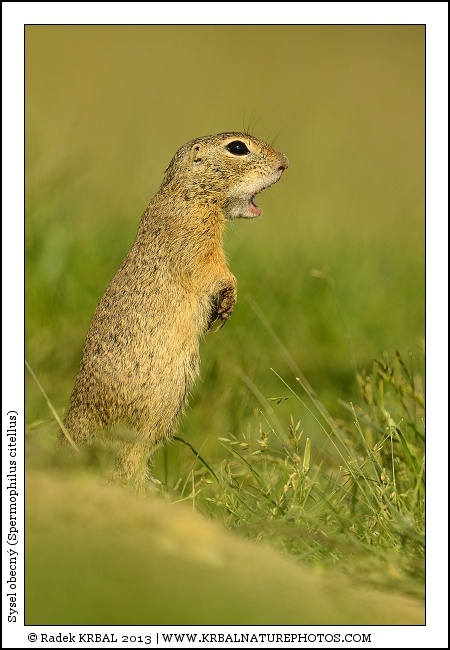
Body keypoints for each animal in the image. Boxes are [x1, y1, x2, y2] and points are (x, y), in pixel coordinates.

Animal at [63, 132, 288, 490]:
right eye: (237, 147)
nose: (284, 163)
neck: (188, 194)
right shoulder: (194, 238)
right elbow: (213, 270)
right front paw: (229, 299)